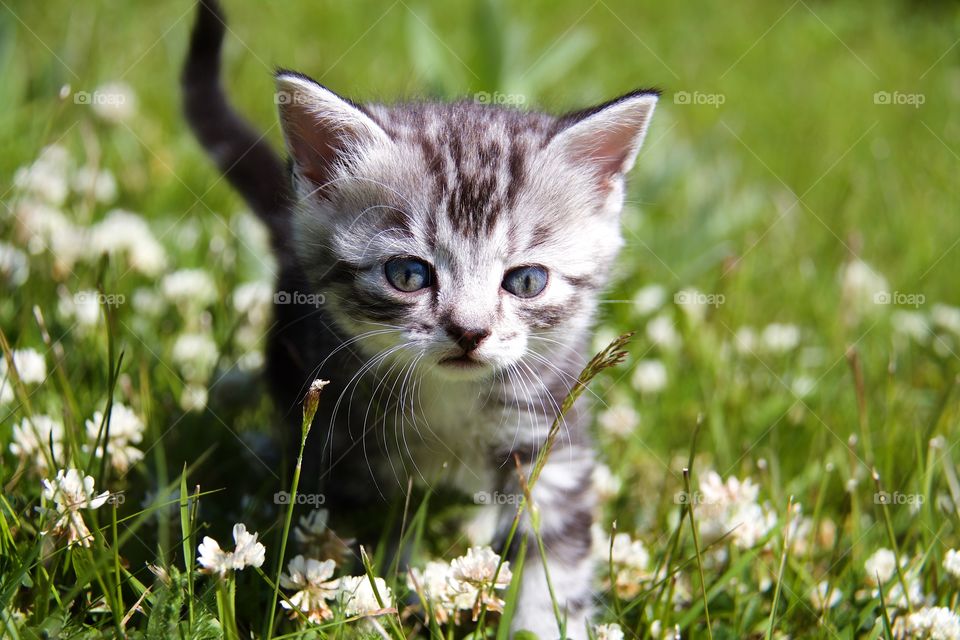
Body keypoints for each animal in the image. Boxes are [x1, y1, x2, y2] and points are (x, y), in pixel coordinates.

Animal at [183, 2, 656, 636]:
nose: (470, 331)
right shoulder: (341, 451)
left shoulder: (547, 438)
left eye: (526, 281)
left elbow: (551, 557)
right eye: (409, 274)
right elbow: (362, 558)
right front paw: (377, 611)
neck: (451, 404)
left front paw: (543, 620)